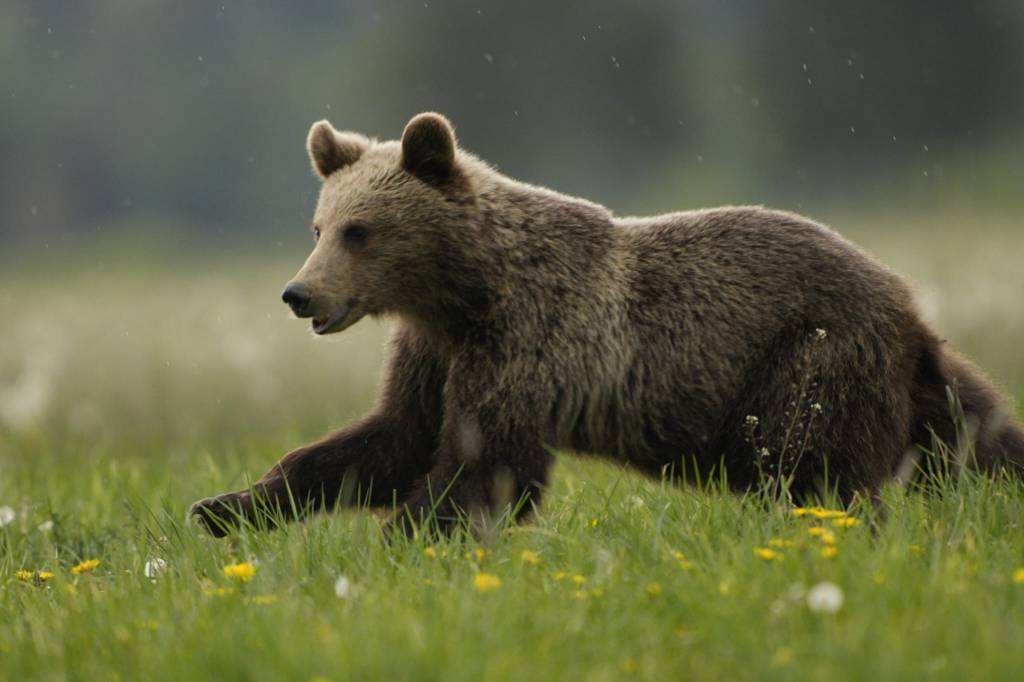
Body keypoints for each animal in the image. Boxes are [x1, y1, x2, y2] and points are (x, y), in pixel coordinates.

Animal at [190, 112, 1024, 537]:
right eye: (317, 225)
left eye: (359, 231)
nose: (300, 293)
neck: (462, 291)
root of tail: (908, 305)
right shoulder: (431, 348)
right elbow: (391, 437)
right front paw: (225, 507)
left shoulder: (530, 337)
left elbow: (486, 463)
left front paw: (400, 538)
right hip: (902, 380)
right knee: (969, 432)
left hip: (808, 356)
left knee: (812, 466)